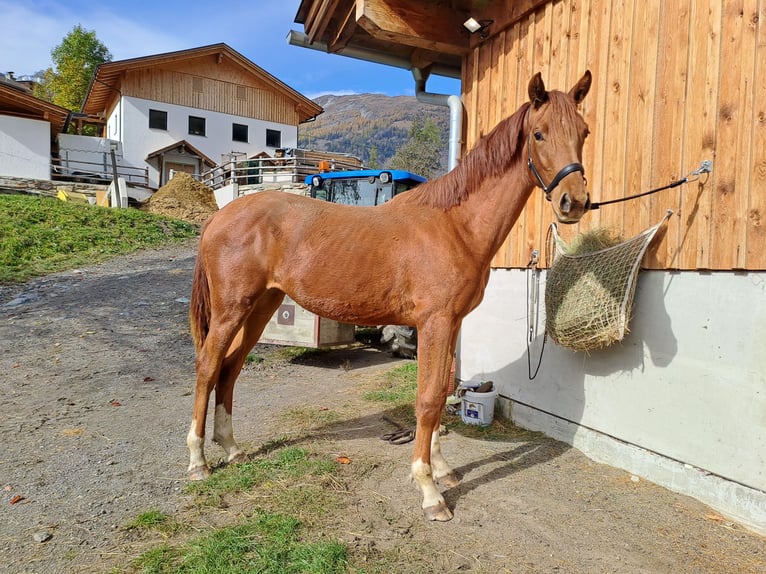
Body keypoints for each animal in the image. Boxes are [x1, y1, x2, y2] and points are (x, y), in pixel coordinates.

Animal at [186, 71, 592, 520]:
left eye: (584, 132)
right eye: (539, 134)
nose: (574, 202)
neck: (454, 225)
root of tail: (219, 217)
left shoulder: (450, 325)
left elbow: (442, 390)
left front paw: (442, 469)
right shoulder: (434, 323)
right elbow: (428, 399)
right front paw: (429, 490)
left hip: (260, 308)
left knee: (230, 369)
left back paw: (232, 449)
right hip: (230, 310)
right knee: (208, 367)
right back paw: (198, 462)